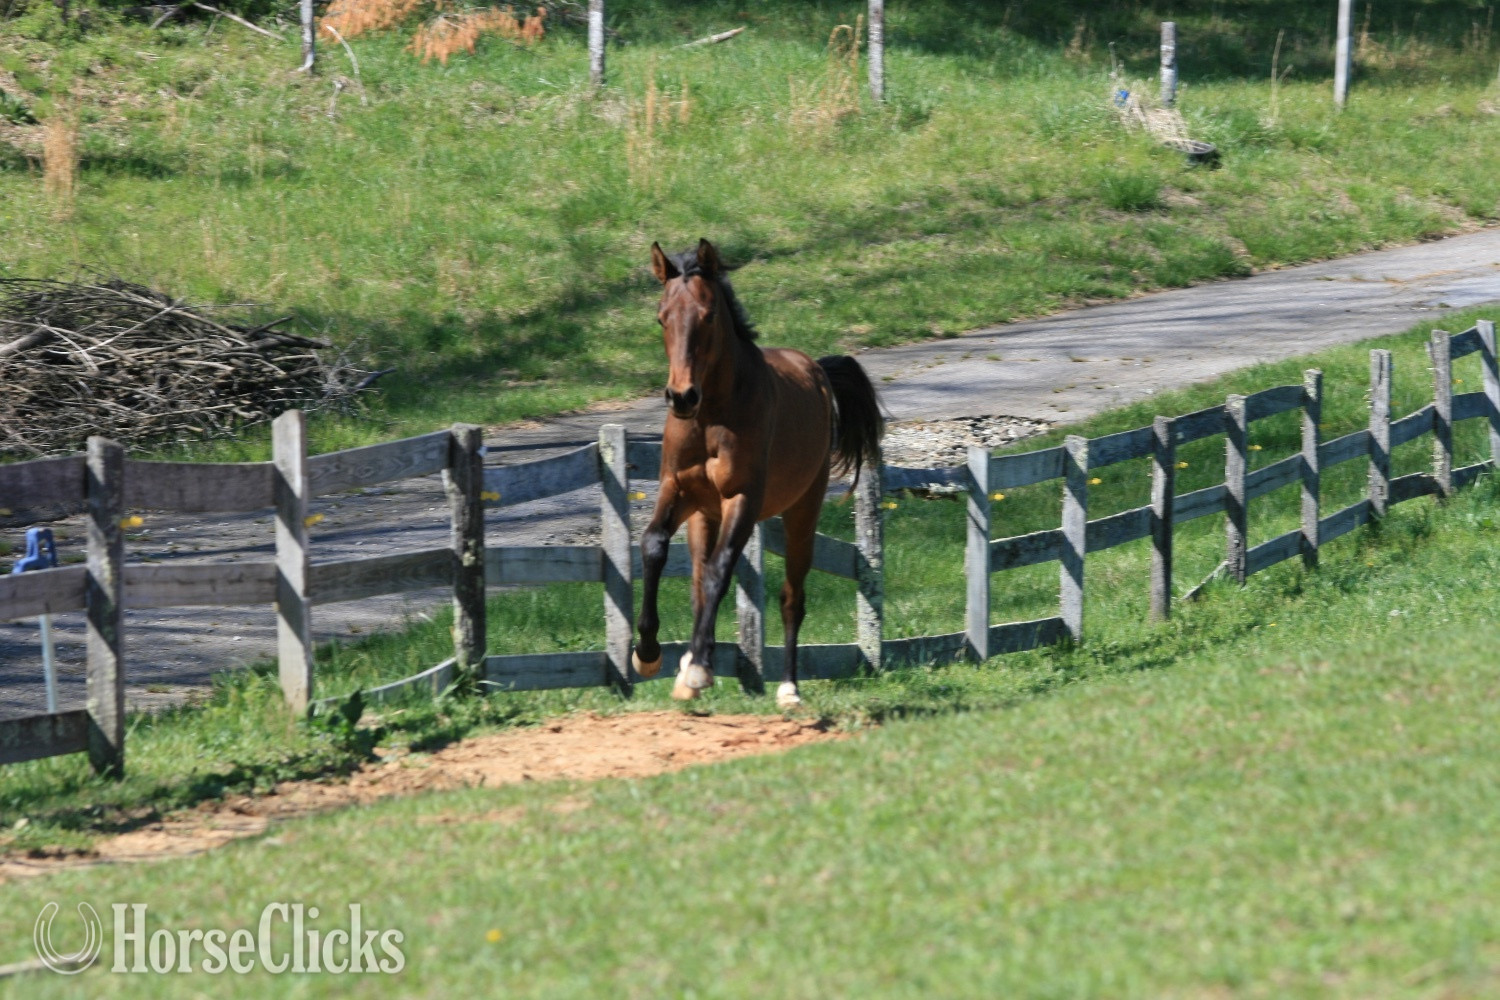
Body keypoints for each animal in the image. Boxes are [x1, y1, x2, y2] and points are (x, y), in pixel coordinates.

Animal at [631, 239, 885, 708]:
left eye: (708, 314)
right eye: (661, 316)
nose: (681, 396)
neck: (711, 416)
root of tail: (816, 370)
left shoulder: (742, 499)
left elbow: (721, 571)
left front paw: (698, 669)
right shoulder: (677, 490)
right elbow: (654, 546)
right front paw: (649, 654)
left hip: (801, 513)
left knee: (790, 598)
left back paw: (787, 688)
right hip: (704, 516)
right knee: (698, 583)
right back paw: (690, 661)